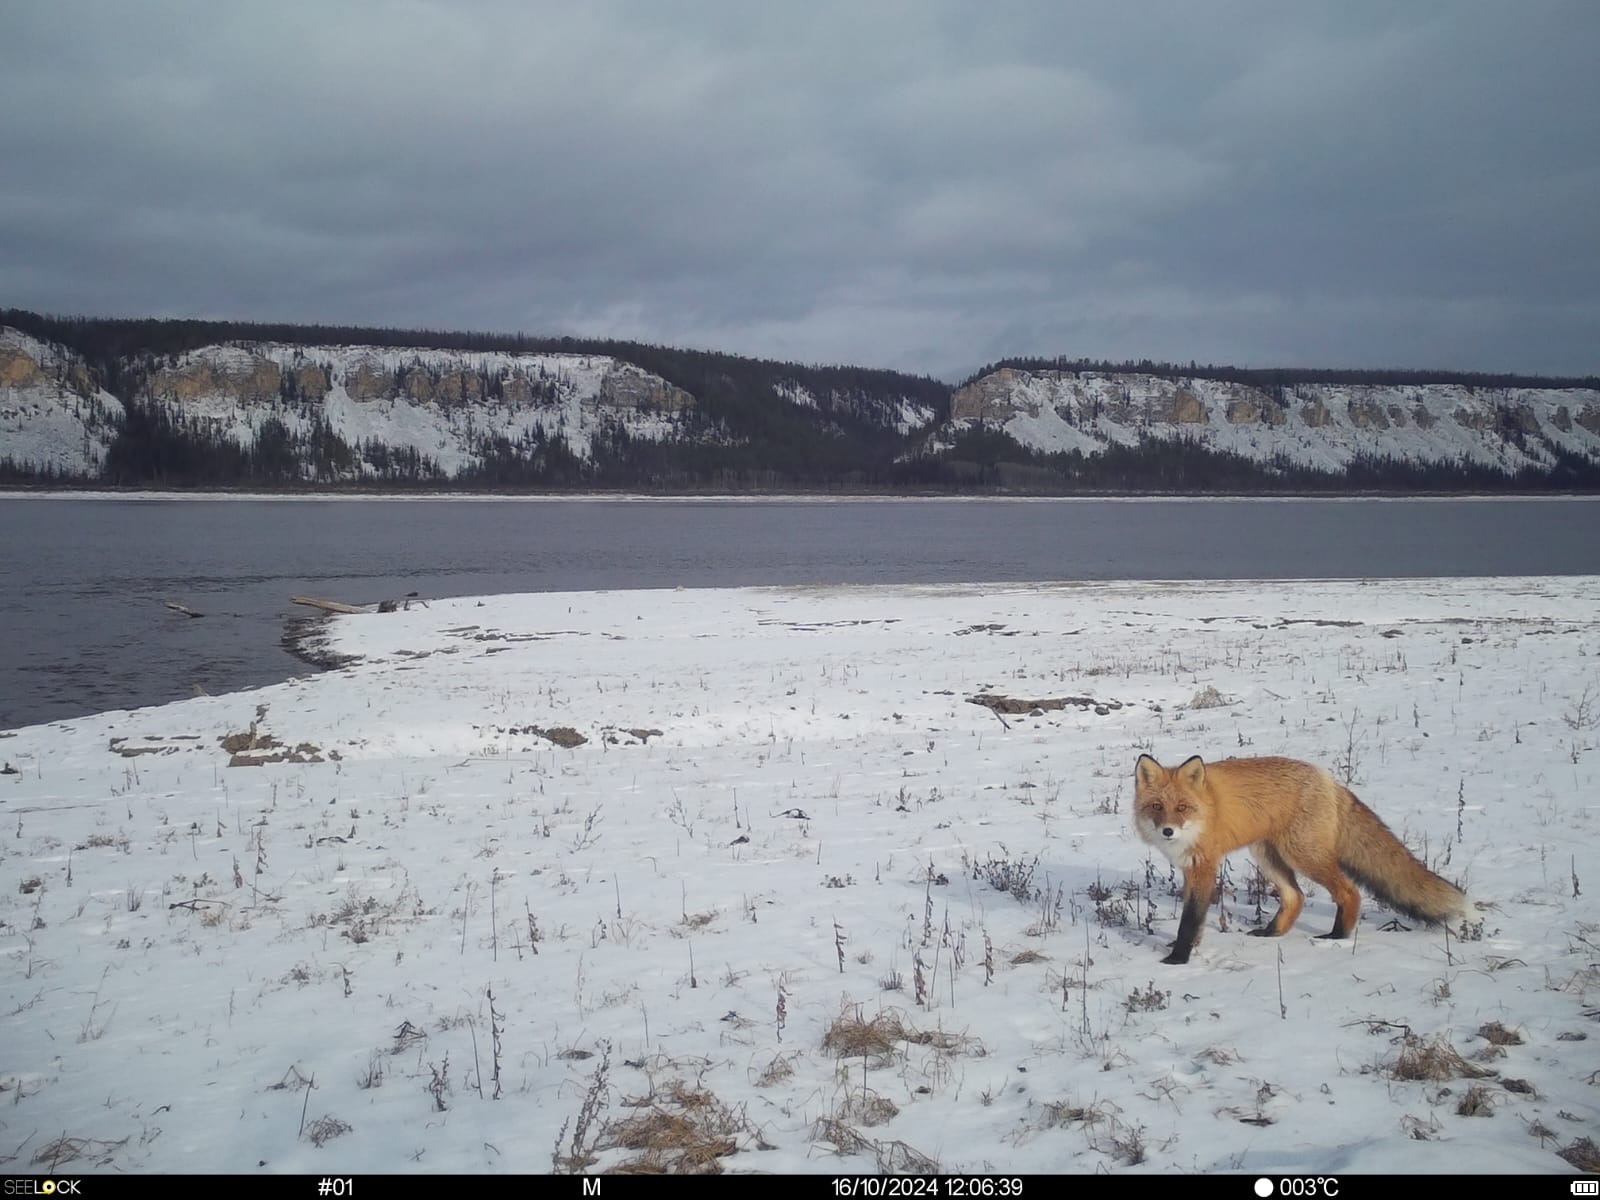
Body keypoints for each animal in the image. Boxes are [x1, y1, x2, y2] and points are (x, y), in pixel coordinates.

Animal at [1132, 761, 1465, 966]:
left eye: (1182, 807)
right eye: (1157, 806)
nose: (1168, 831)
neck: (1203, 815)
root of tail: (1328, 779)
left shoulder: (1205, 866)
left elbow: (1190, 920)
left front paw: (1178, 958)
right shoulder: (1190, 869)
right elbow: (1196, 919)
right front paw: (1190, 949)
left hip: (1303, 856)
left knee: (1349, 891)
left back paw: (1337, 937)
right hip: (1268, 856)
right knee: (1296, 896)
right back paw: (1273, 933)